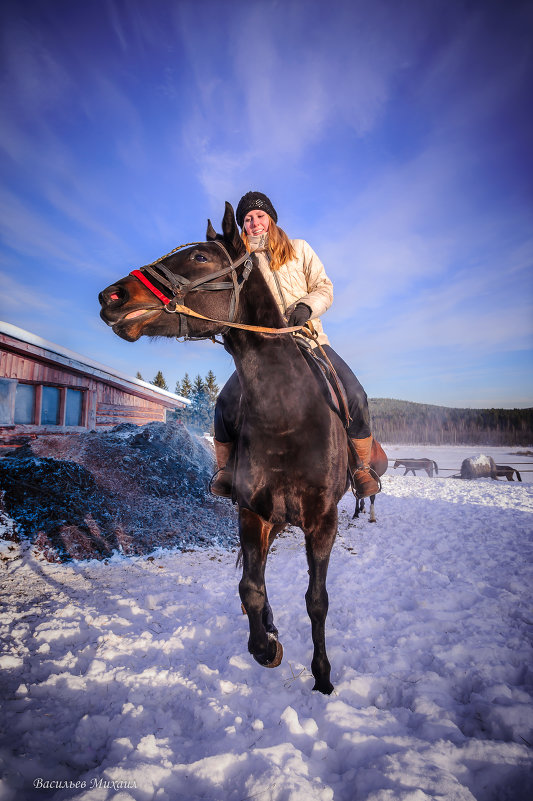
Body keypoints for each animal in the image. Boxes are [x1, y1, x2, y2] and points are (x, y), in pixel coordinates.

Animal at [97, 202, 370, 692]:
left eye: (200, 257)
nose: (112, 297)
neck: (287, 416)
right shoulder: (252, 513)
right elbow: (250, 587)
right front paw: (265, 645)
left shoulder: (323, 522)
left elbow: (316, 599)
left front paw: (322, 676)